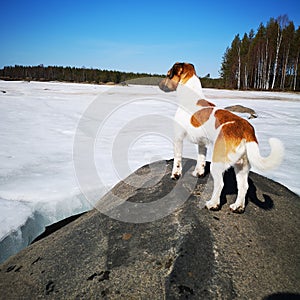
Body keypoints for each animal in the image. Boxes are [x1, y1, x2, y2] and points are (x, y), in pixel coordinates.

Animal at [159, 62, 284, 213]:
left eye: (168, 74)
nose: (159, 84)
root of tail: (247, 130)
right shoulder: (202, 144)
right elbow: (201, 160)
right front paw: (198, 173)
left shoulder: (178, 139)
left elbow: (177, 161)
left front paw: (175, 175)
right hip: (242, 166)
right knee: (243, 187)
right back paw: (238, 206)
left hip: (218, 164)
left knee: (220, 185)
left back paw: (213, 204)